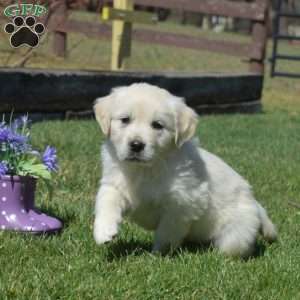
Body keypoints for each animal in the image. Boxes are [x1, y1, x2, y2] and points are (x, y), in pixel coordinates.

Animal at [93, 83, 276, 256]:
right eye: (125, 119)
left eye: (157, 125)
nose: (136, 145)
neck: (146, 169)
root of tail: (255, 204)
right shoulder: (114, 183)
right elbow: (106, 201)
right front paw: (104, 231)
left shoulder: (182, 204)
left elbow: (166, 234)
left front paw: (158, 255)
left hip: (235, 236)